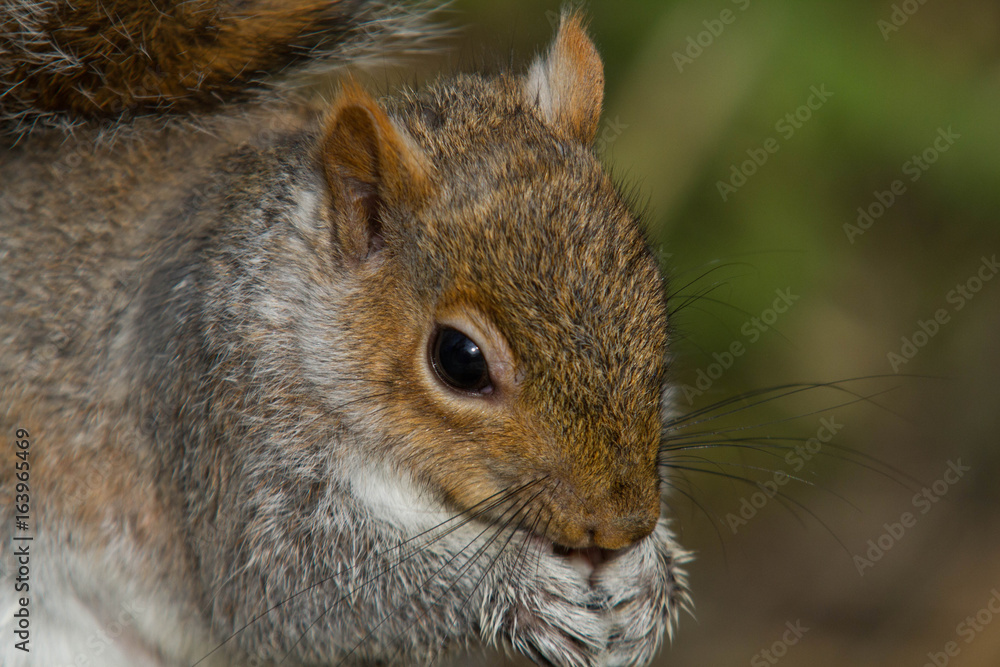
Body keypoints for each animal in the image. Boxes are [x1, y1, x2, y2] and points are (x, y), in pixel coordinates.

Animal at [0, 1, 692, 666]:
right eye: (460, 359)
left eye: (652, 291)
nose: (621, 525)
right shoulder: (218, 410)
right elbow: (290, 589)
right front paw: (520, 582)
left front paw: (649, 577)